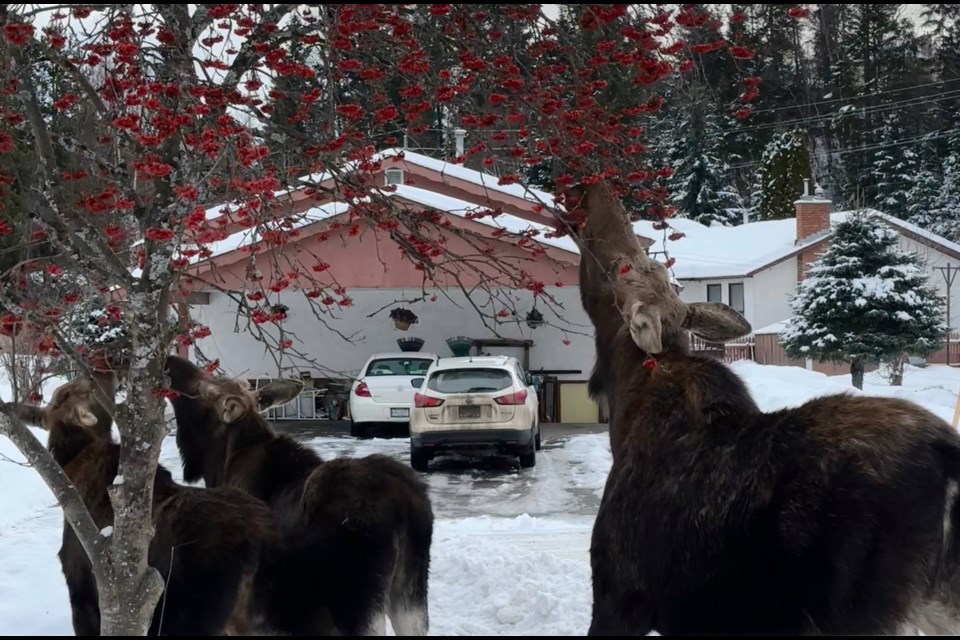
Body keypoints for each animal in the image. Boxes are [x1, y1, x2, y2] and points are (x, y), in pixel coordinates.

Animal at [165, 356, 436, 636]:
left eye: (207, 390)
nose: (171, 361)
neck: (221, 462)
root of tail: (405, 506)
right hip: (411, 597)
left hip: (356, 604)